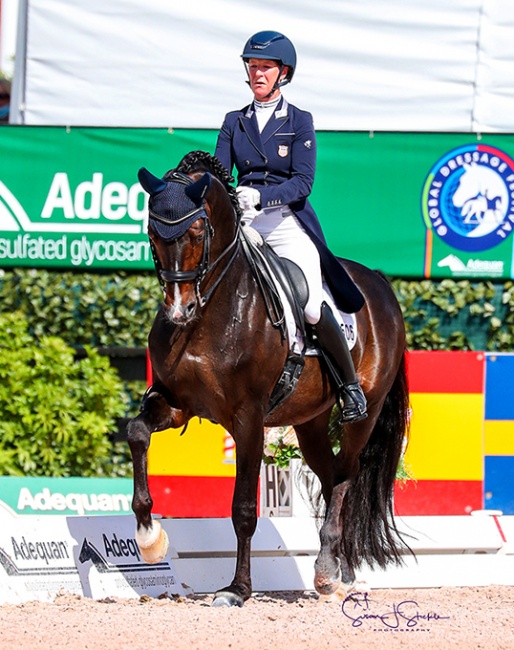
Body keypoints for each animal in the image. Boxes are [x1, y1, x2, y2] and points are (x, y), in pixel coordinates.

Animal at [127, 149, 408, 604]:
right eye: (152, 233)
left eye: (198, 231)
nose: (179, 311)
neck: (212, 308)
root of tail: (378, 281)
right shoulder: (176, 402)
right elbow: (136, 433)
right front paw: (150, 538)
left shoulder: (248, 418)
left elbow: (243, 509)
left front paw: (237, 589)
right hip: (310, 421)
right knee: (330, 478)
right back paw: (340, 571)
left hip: (364, 412)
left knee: (345, 475)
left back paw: (327, 571)